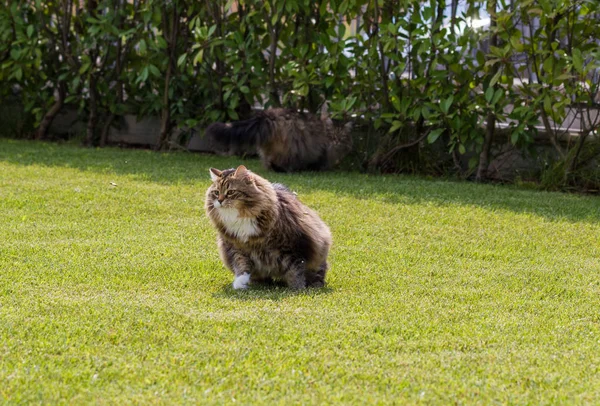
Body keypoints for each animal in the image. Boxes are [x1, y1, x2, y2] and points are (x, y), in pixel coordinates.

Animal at [204, 106, 354, 171]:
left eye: (342, 137)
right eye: (333, 136)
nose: (336, 142)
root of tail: (268, 115)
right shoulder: (321, 152)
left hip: (269, 148)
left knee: (267, 160)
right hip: (291, 147)